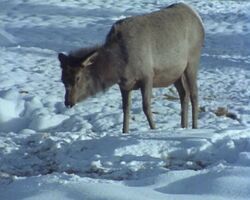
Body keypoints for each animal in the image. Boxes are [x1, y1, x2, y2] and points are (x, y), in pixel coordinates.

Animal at [58, 2, 205, 133]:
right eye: (63, 79)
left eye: (78, 78)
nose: (68, 102)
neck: (119, 67)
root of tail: (197, 17)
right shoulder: (124, 85)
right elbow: (126, 108)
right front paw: (125, 131)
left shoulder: (147, 75)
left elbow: (146, 106)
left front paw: (154, 129)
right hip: (176, 73)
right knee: (184, 94)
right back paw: (183, 126)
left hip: (192, 61)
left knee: (194, 94)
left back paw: (195, 127)